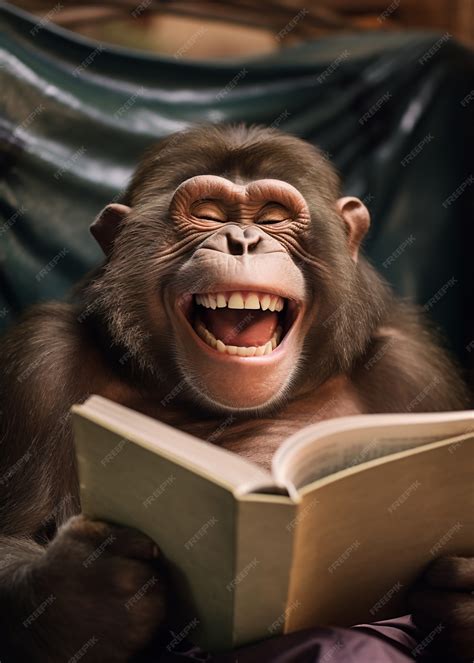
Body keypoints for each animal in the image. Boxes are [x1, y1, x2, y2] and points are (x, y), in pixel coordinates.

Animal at [0, 124, 472, 662]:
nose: (242, 240)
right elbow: (14, 534)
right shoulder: (40, 361)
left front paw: (461, 596)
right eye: (206, 214)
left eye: (273, 217)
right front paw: (84, 592)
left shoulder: (416, 372)